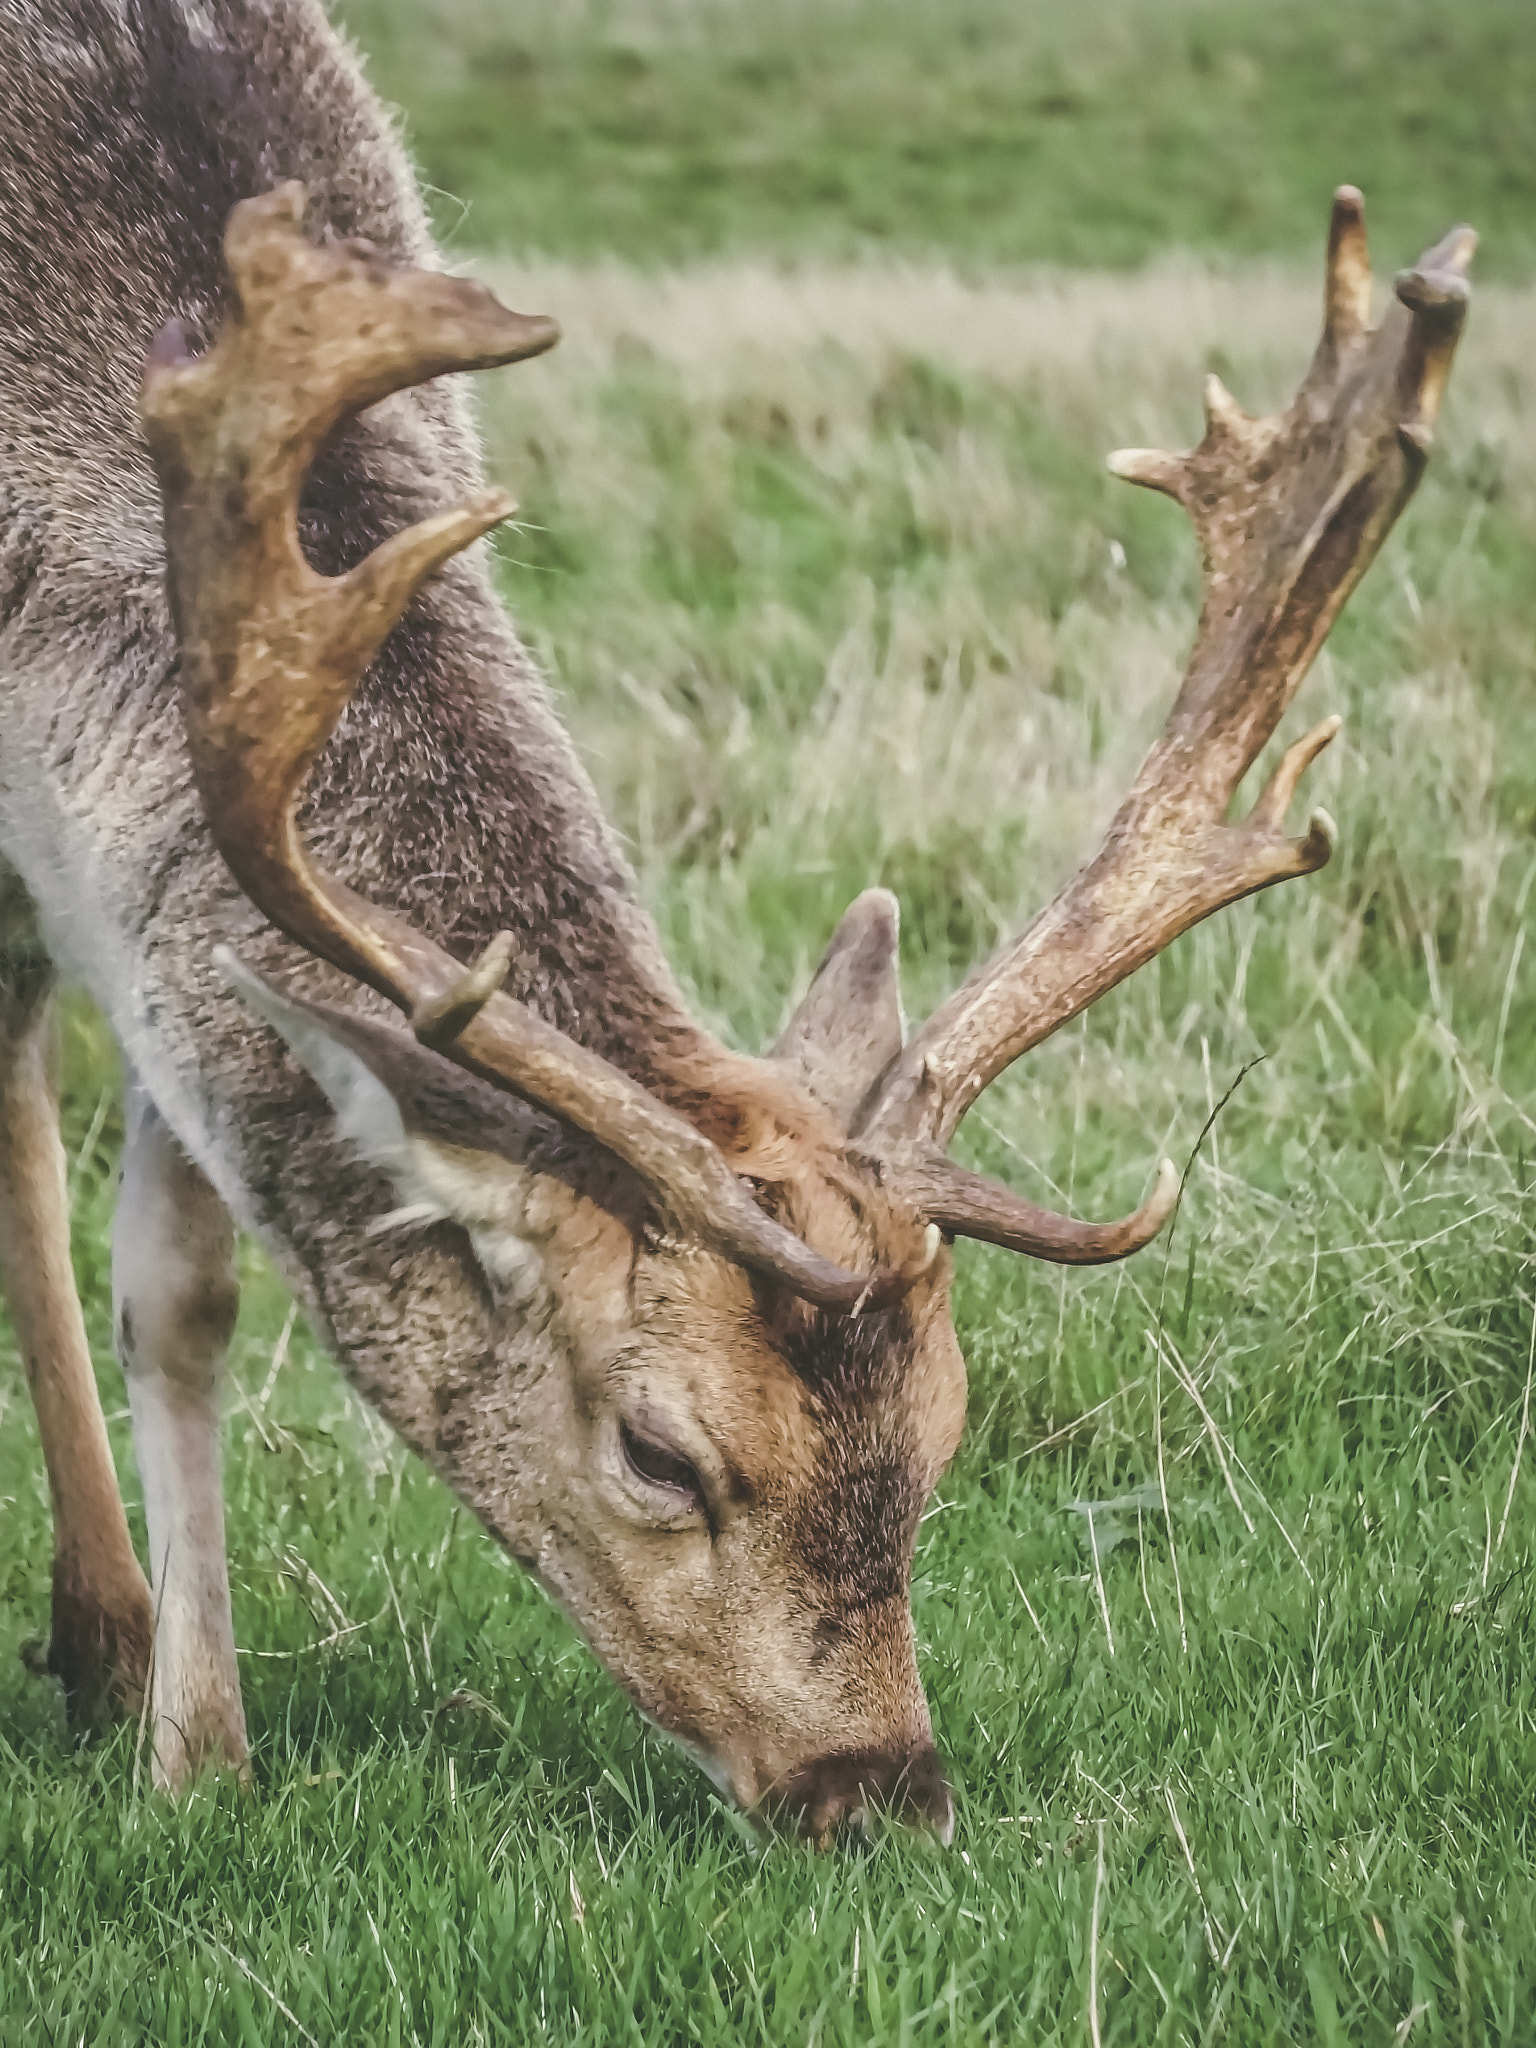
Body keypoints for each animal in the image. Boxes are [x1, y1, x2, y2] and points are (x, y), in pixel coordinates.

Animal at [0, 0, 1482, 1843]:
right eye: (660, 1453)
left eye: (946, 1431)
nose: (880, 1790)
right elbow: (162, 1276)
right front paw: (197, 1751)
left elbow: (179, 1252)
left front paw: (174, 1719)